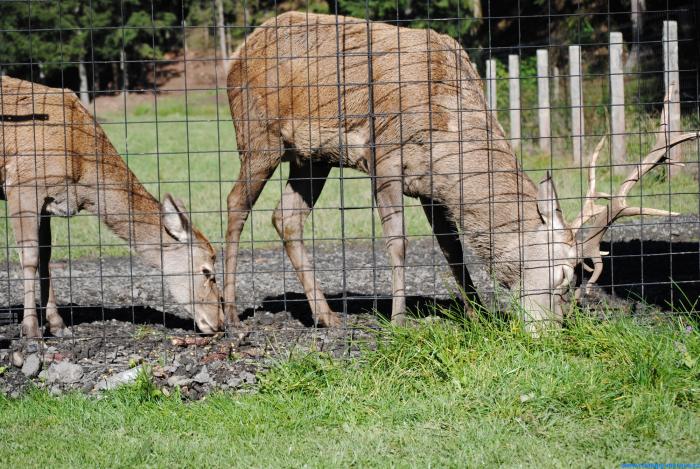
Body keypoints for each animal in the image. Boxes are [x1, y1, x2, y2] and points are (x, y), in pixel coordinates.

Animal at [0, 77, 224, 336]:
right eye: (207, 270)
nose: (219, 322)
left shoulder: (48, 202)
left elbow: (46, 257)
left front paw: (58, 325)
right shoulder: (22, 184)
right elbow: (30, 257)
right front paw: (31, 330)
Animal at [226, 11, 700, 332]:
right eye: (565, 276)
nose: (551, 330)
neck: (446, 136)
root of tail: (237, 53)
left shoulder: (432, 187)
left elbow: (453, 249)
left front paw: (477, 313)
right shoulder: (384, 157)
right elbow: (398, 243)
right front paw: (399, 321)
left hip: (312, 157)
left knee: (285, 217)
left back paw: (326, 317)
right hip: (258, 135)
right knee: (235, 204)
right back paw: (229, 312)